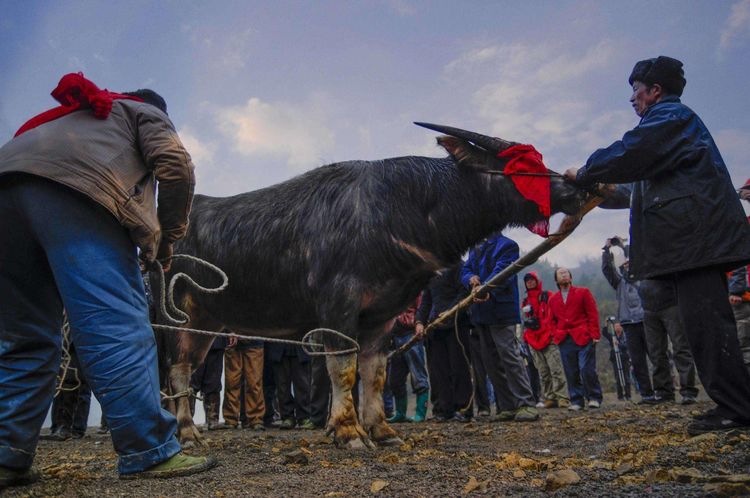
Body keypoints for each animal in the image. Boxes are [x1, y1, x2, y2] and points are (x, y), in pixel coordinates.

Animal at [157, 123, 588, 448]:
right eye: (523, 165)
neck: (396, 210)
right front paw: (348, 432)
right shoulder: (338, 309)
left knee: (186, 370)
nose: (574, 187)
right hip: (173, 319)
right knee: (175, 372)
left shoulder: (382, 317)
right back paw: (185, 433)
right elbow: (344, 372)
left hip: (207, 323)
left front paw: (381, 430)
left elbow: (375, 374)